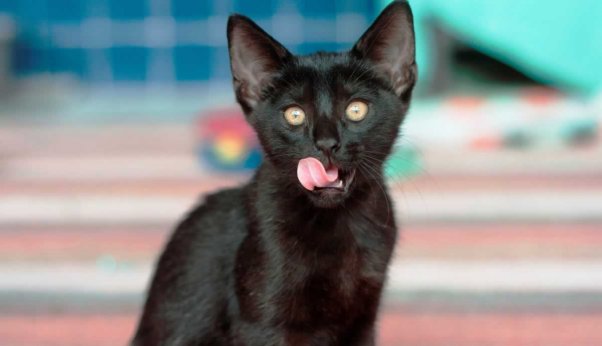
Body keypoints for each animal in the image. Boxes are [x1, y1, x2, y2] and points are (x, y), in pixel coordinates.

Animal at [132, 1, 414, 344]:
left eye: (356, 109)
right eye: (294, 115)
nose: (326, 143)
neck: (336, 224)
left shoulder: (363, 319)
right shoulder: (262, 323)